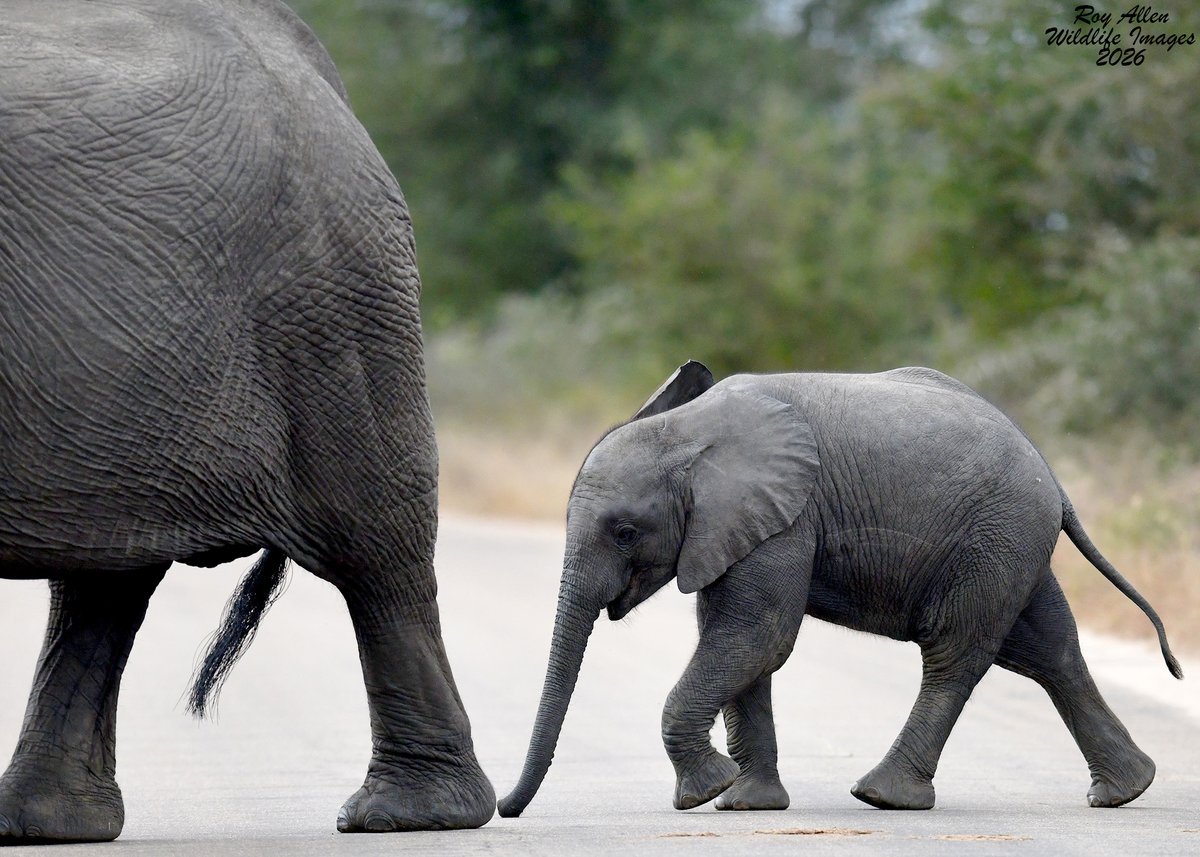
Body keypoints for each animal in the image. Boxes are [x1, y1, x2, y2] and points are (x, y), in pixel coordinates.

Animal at [0, 0, 493, 843]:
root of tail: (302, 52)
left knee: (378, 547)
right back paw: (43, 825)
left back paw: (408, 815)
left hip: (335, 306)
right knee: (107, 576)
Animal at [498, 361, 1182, 818]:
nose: (507, 808)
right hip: (1011, 542)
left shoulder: (787, 515)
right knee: (1047, 650)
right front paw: (746, 804)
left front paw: (708, 793)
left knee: (955, 654)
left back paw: (883, 796)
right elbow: (741, 642)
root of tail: (1053, 478)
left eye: (623, 532)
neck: (687, 432)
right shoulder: (735, 526)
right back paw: (1126, 790)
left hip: (995, 535)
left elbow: (758, 635)